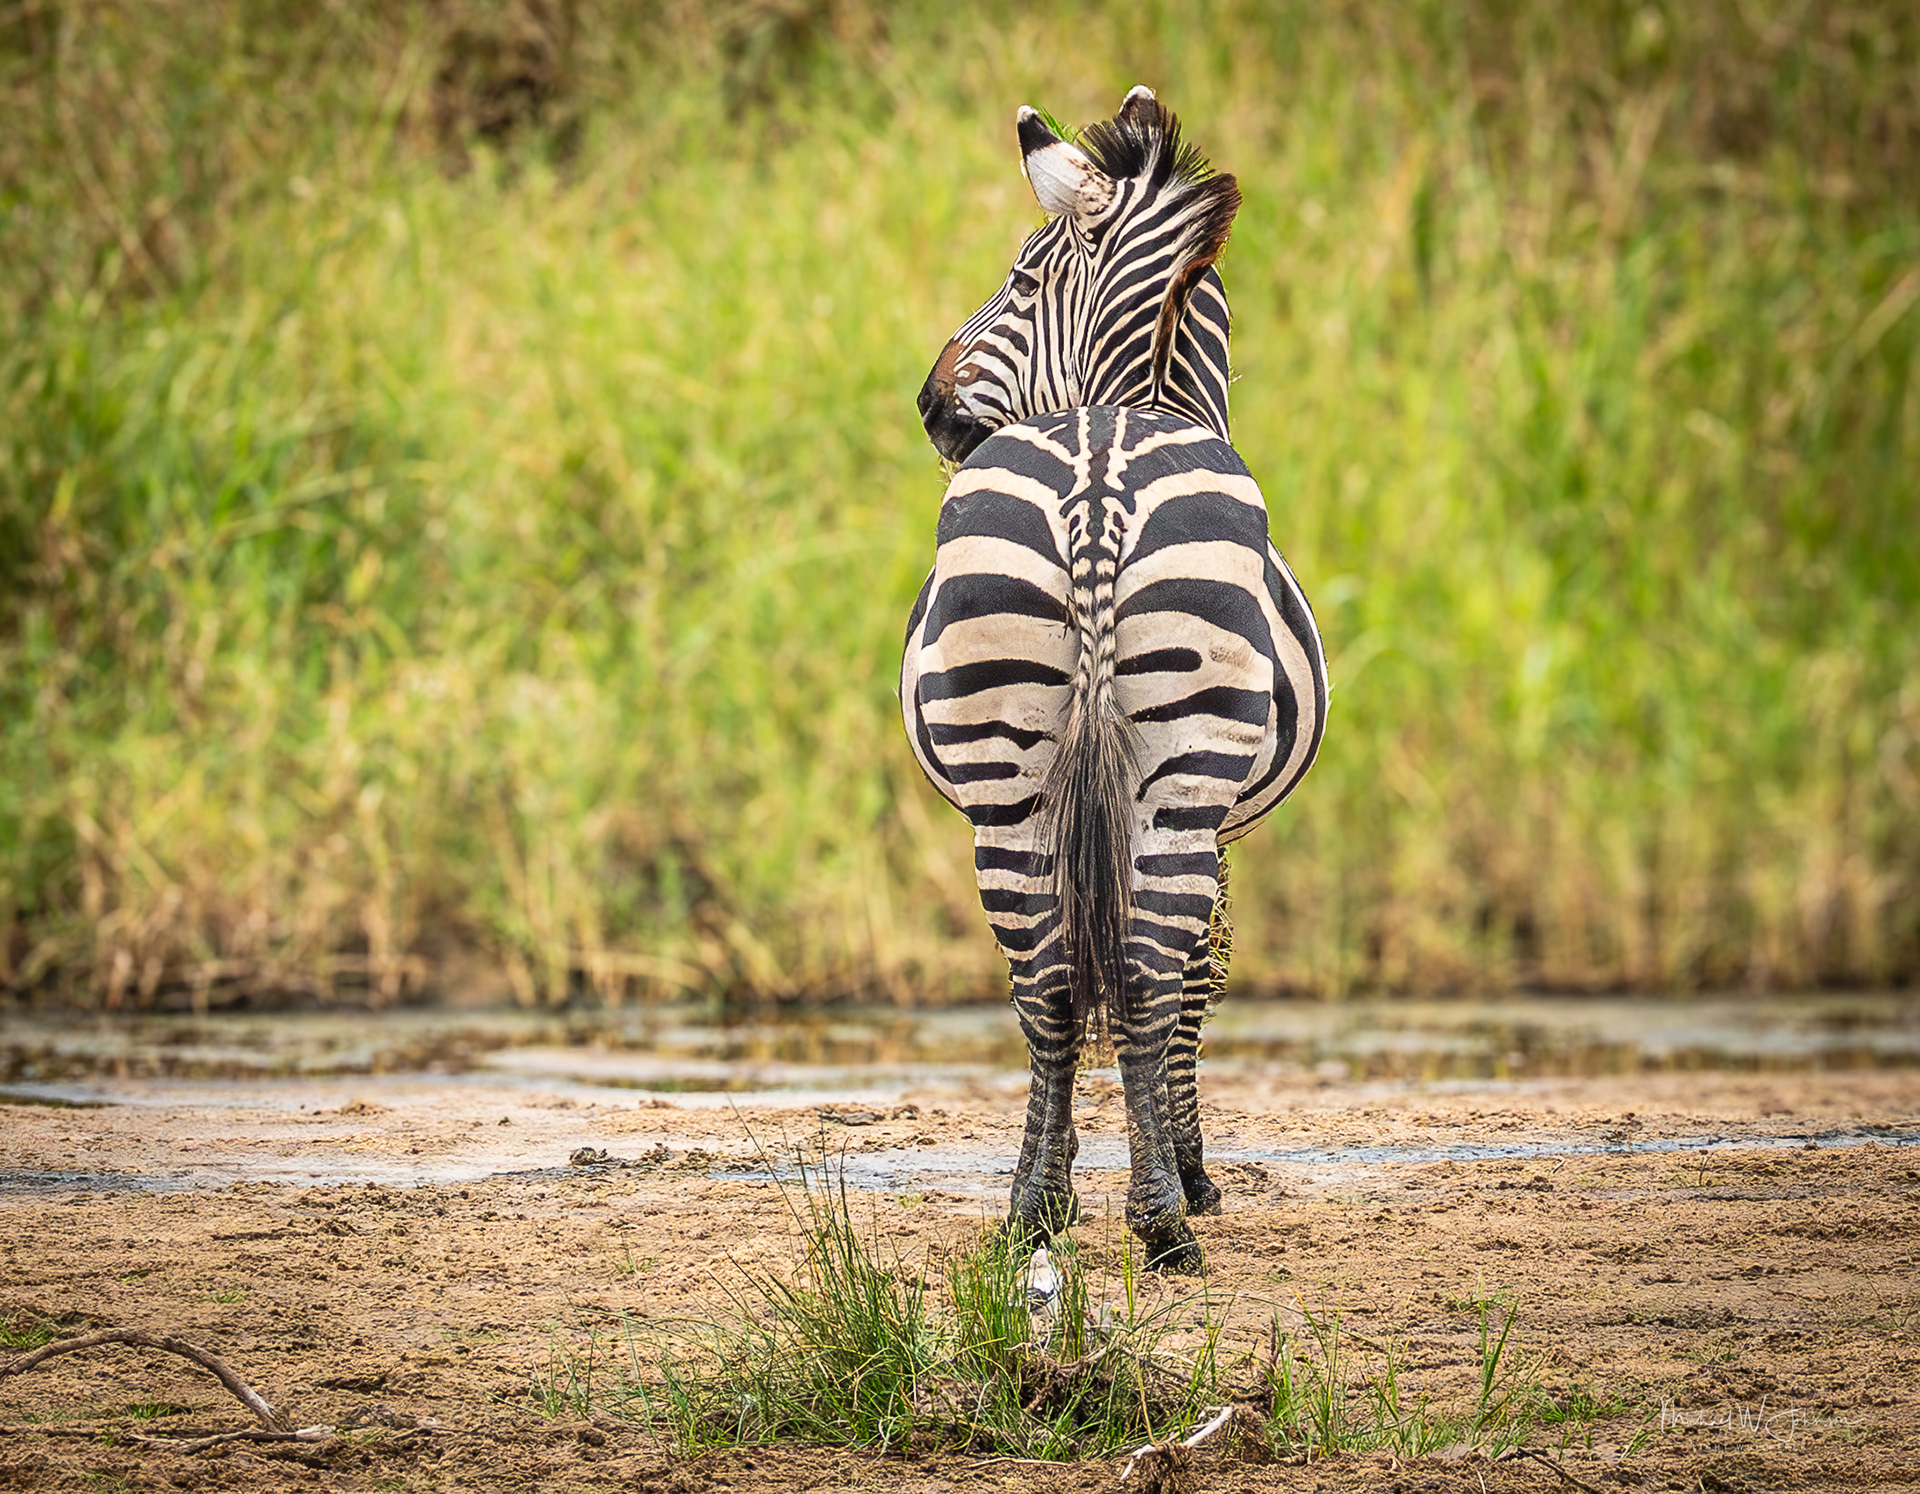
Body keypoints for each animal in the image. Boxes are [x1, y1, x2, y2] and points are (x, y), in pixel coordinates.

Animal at [900, 88, 1328, 1272]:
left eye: (1019, 279)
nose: (928, 407)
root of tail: (1095, 481)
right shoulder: (1221, 820)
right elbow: (1197, 981)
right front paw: (1194, 1170)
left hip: (1008, 778)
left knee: (1047, 979)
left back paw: (1034, 1210)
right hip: (1178, 778)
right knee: (1140, 970)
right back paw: (1161, 1219)